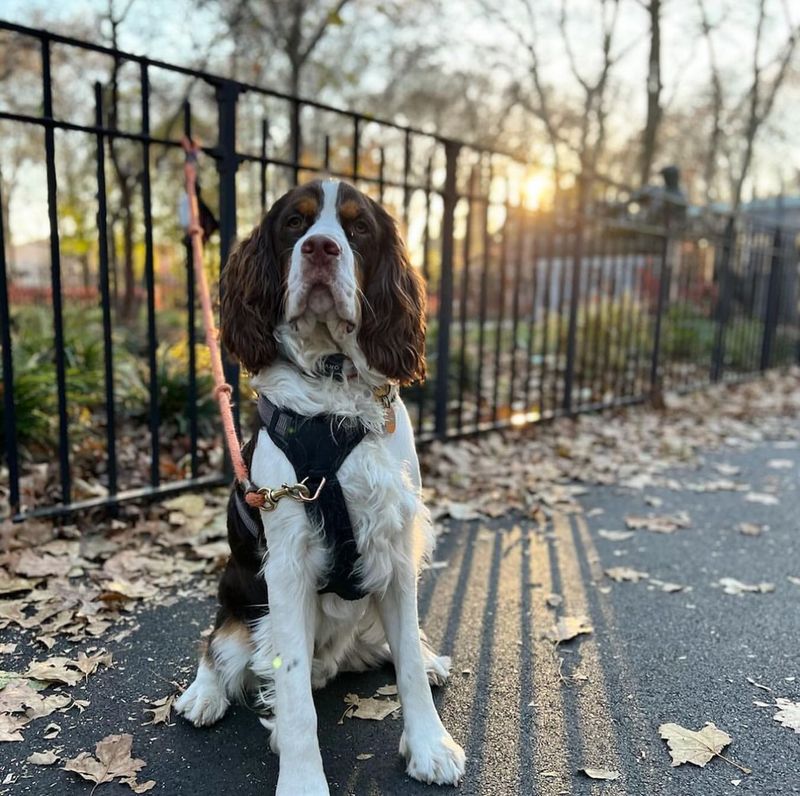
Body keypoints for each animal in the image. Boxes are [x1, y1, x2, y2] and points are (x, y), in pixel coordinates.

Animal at [175, 180, 462, 796]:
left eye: (357, 228)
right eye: (294, 224)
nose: (321, 249)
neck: (334, 384)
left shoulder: (395, 546)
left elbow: (407, 661)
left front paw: (431, 745)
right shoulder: (287, 563)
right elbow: (293, 695)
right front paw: (303, 779)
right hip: (238, 597)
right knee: (218, 646)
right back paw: (202, 696)